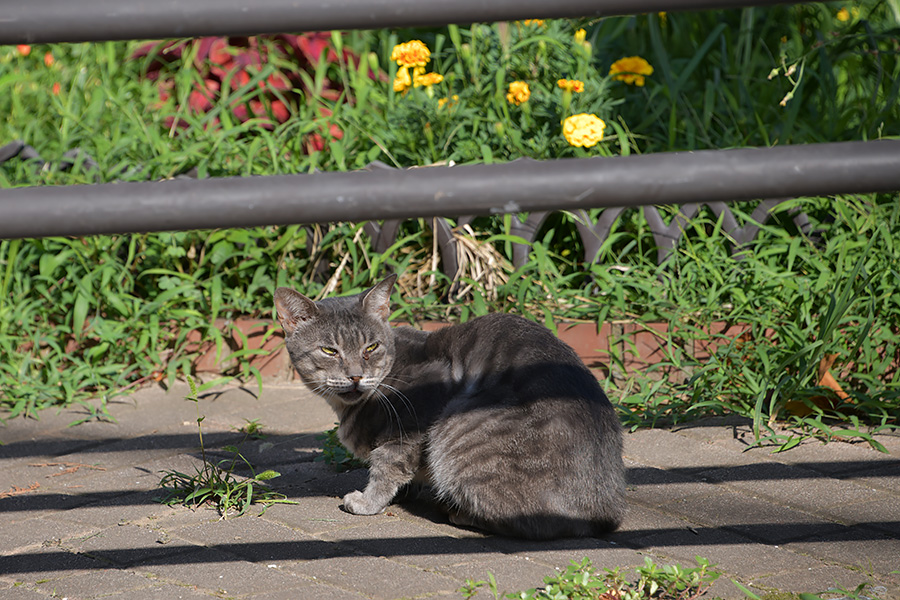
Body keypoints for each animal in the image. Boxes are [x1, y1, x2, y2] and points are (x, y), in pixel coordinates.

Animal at [274, 274, 624, 536]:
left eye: (370, 347)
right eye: (329, 351)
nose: (357, 376)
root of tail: (606, 509)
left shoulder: (412, 418)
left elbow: (387, 466)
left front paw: (367, 502)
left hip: (456, 426)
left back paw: (457, 511)